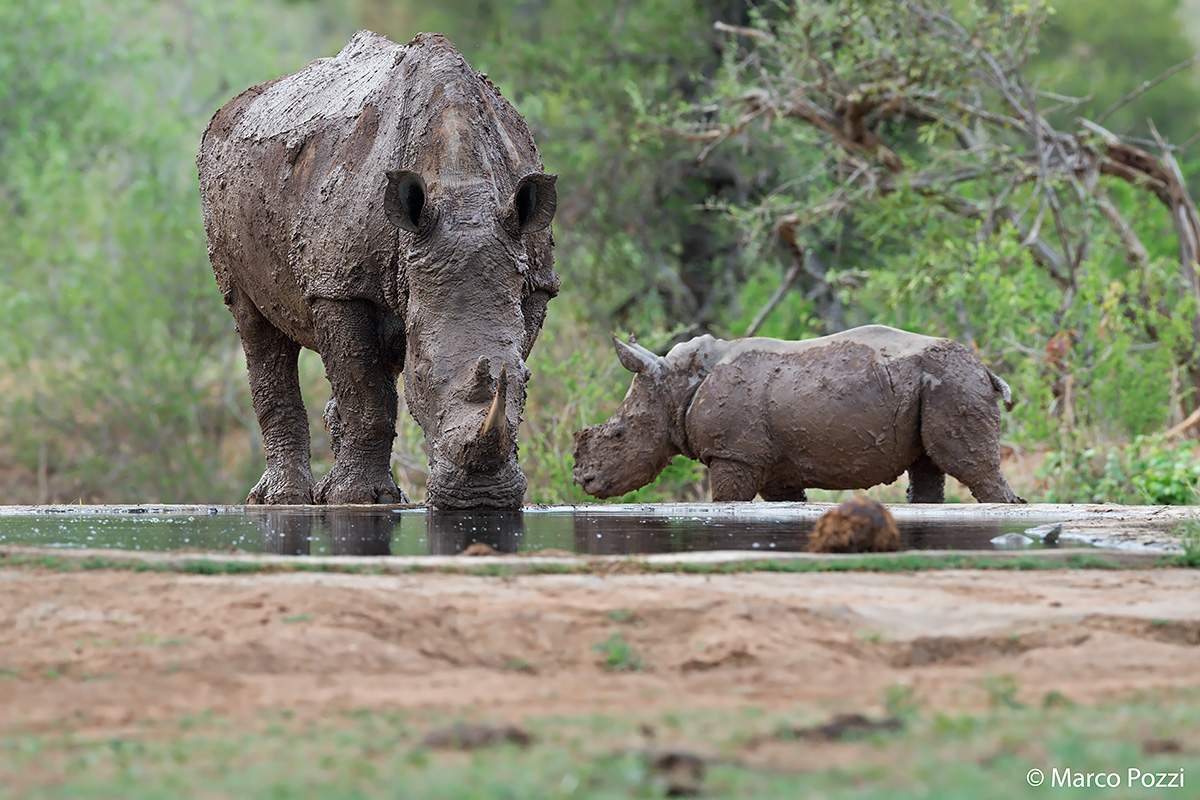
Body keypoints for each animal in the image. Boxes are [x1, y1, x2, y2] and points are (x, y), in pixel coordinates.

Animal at [197, 31, 559, 508]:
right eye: (421, 375)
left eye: (527, 380)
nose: (480, 499)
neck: (464, 192)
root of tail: (235, 105)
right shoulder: (338, 286)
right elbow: (366, 393)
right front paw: (363, 499)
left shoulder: (535, 283)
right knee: (252, 320)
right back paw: (283, 500)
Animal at [573, 326, 1025, 503]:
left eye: (619, 435)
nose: (583, 480)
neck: (673, 386)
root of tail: (984, 369)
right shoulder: (772, 463)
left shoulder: (735, 455)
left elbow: (726, 500)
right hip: (935, 385)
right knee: (928, 466)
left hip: (953, 381)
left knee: (970, 467)